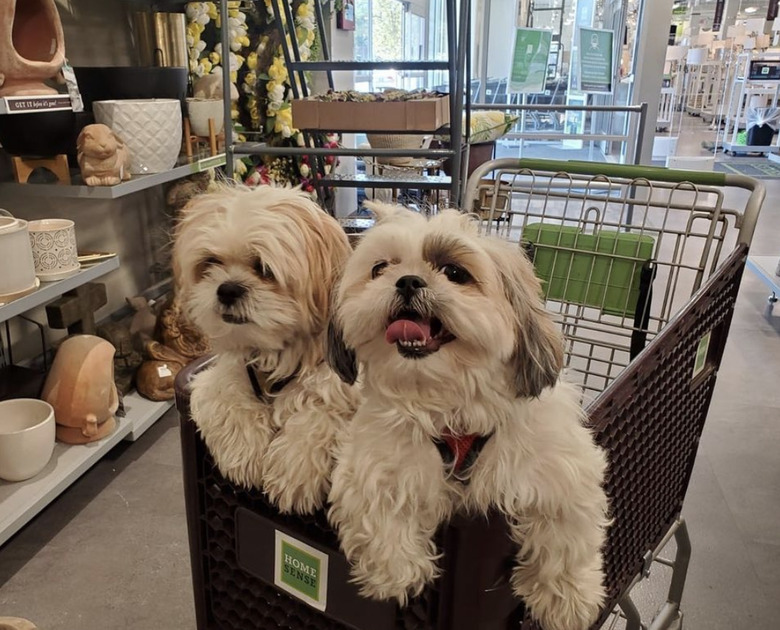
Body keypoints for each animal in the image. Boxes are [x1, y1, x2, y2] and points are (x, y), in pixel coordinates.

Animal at [173, 185, 356, 516]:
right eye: (211, 262)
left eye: (263, 268)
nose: (227, 289)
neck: (276, 354)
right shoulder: (217, 376)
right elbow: (227, 399)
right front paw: (243, 452)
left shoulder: (340, 391)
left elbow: (318, 416)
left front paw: (294, 469)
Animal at [326, 206, 608, 630]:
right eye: (380, 268)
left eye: (455, 272)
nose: (408, 280)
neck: (451, 404)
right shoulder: (378, 459)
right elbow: (380, 507)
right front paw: (395, 572)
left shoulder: (557, 468)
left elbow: (565, 534)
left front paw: (569, 599)